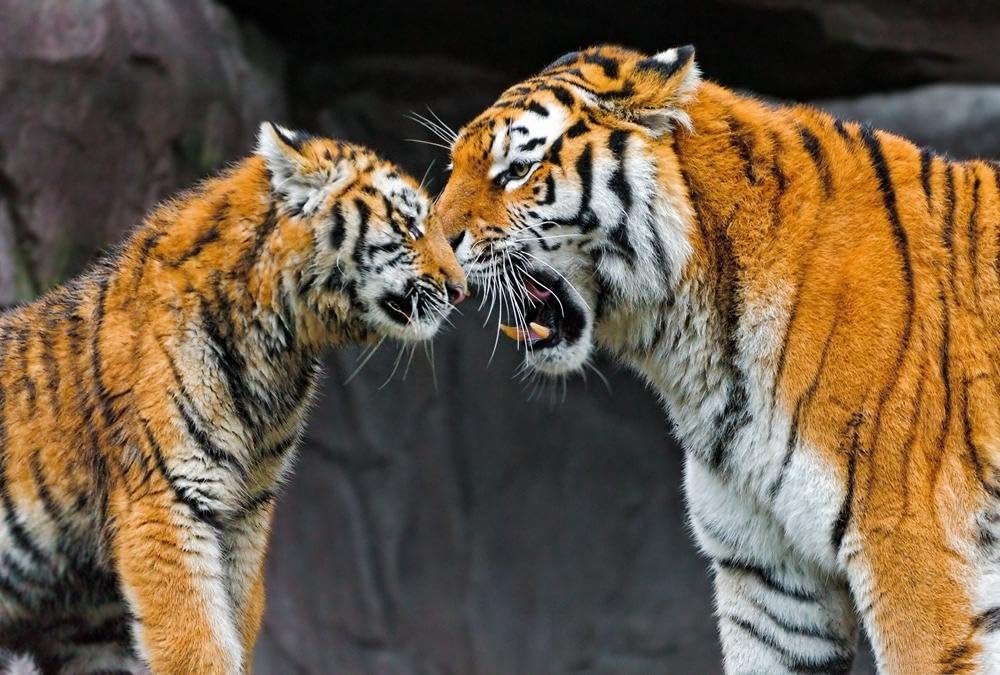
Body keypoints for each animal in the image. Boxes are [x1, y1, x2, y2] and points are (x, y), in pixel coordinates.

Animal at [0, 122, 466, 674]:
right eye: (409, 225)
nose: (461, 289)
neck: (279, 350)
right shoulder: (167, 498)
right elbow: (197, 640)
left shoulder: (246, 508)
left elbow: (235, 620)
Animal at [435, 43, 1000, 674]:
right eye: (454, 167)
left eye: (516, 171)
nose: (433, 248)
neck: (697, 350)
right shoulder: (769, 575)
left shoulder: (914, 550)